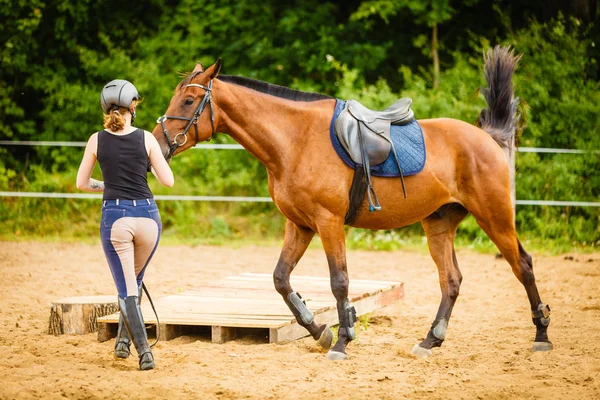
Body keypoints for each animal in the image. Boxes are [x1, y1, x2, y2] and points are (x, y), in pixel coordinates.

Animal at [151, 46, 552, 360]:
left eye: (189, 100)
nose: (158, 143)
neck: (295, 140)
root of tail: (487, 137)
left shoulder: (328, 222)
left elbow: (339, 281)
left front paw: (342, 341)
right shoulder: (300, 224)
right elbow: (281, 279)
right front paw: (321, 332)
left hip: (495, 217)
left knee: (523, 266)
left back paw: (541, 335)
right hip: (439, 224)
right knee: (451, 280)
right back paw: (430, 341)